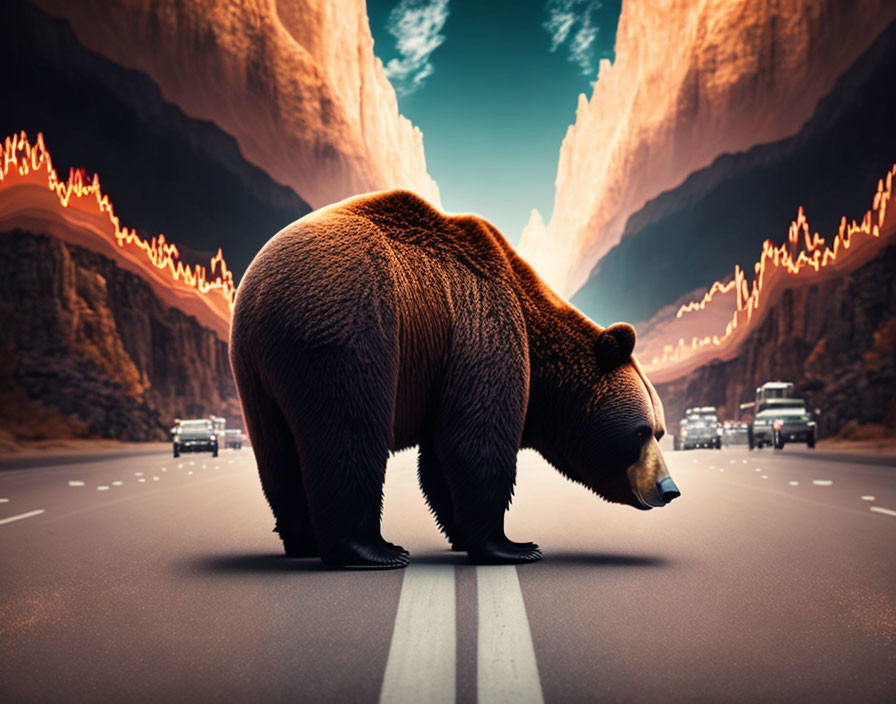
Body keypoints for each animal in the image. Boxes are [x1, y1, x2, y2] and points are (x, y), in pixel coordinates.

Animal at [231, 190, 680, 568]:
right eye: (641, 432)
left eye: (660, 431)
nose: (668, 489)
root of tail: (260, 293)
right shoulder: (482, 326)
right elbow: (475, 440)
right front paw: (514, 545)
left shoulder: (446, 363)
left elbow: (439, 459)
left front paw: (464, 534)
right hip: (349, 326)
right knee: (348, 432)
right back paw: (374, 550)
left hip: (256, 374)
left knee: (278, 453)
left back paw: (302, 541)